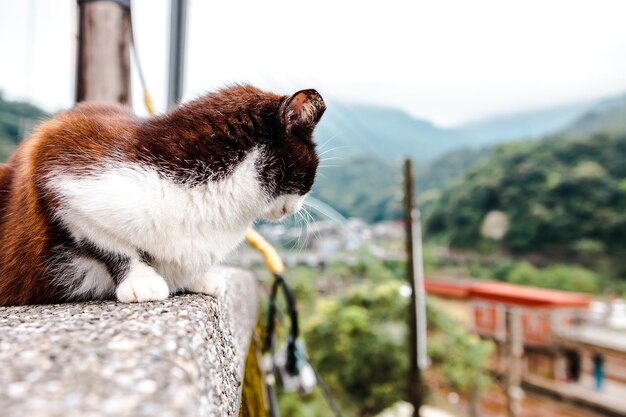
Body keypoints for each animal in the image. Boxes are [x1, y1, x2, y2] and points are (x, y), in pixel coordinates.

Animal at [0, 85, 324, 306]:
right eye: (314, 168)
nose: (299, 207)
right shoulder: (56, 166)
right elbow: (111, 245)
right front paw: (142, 280)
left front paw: (196, 277)